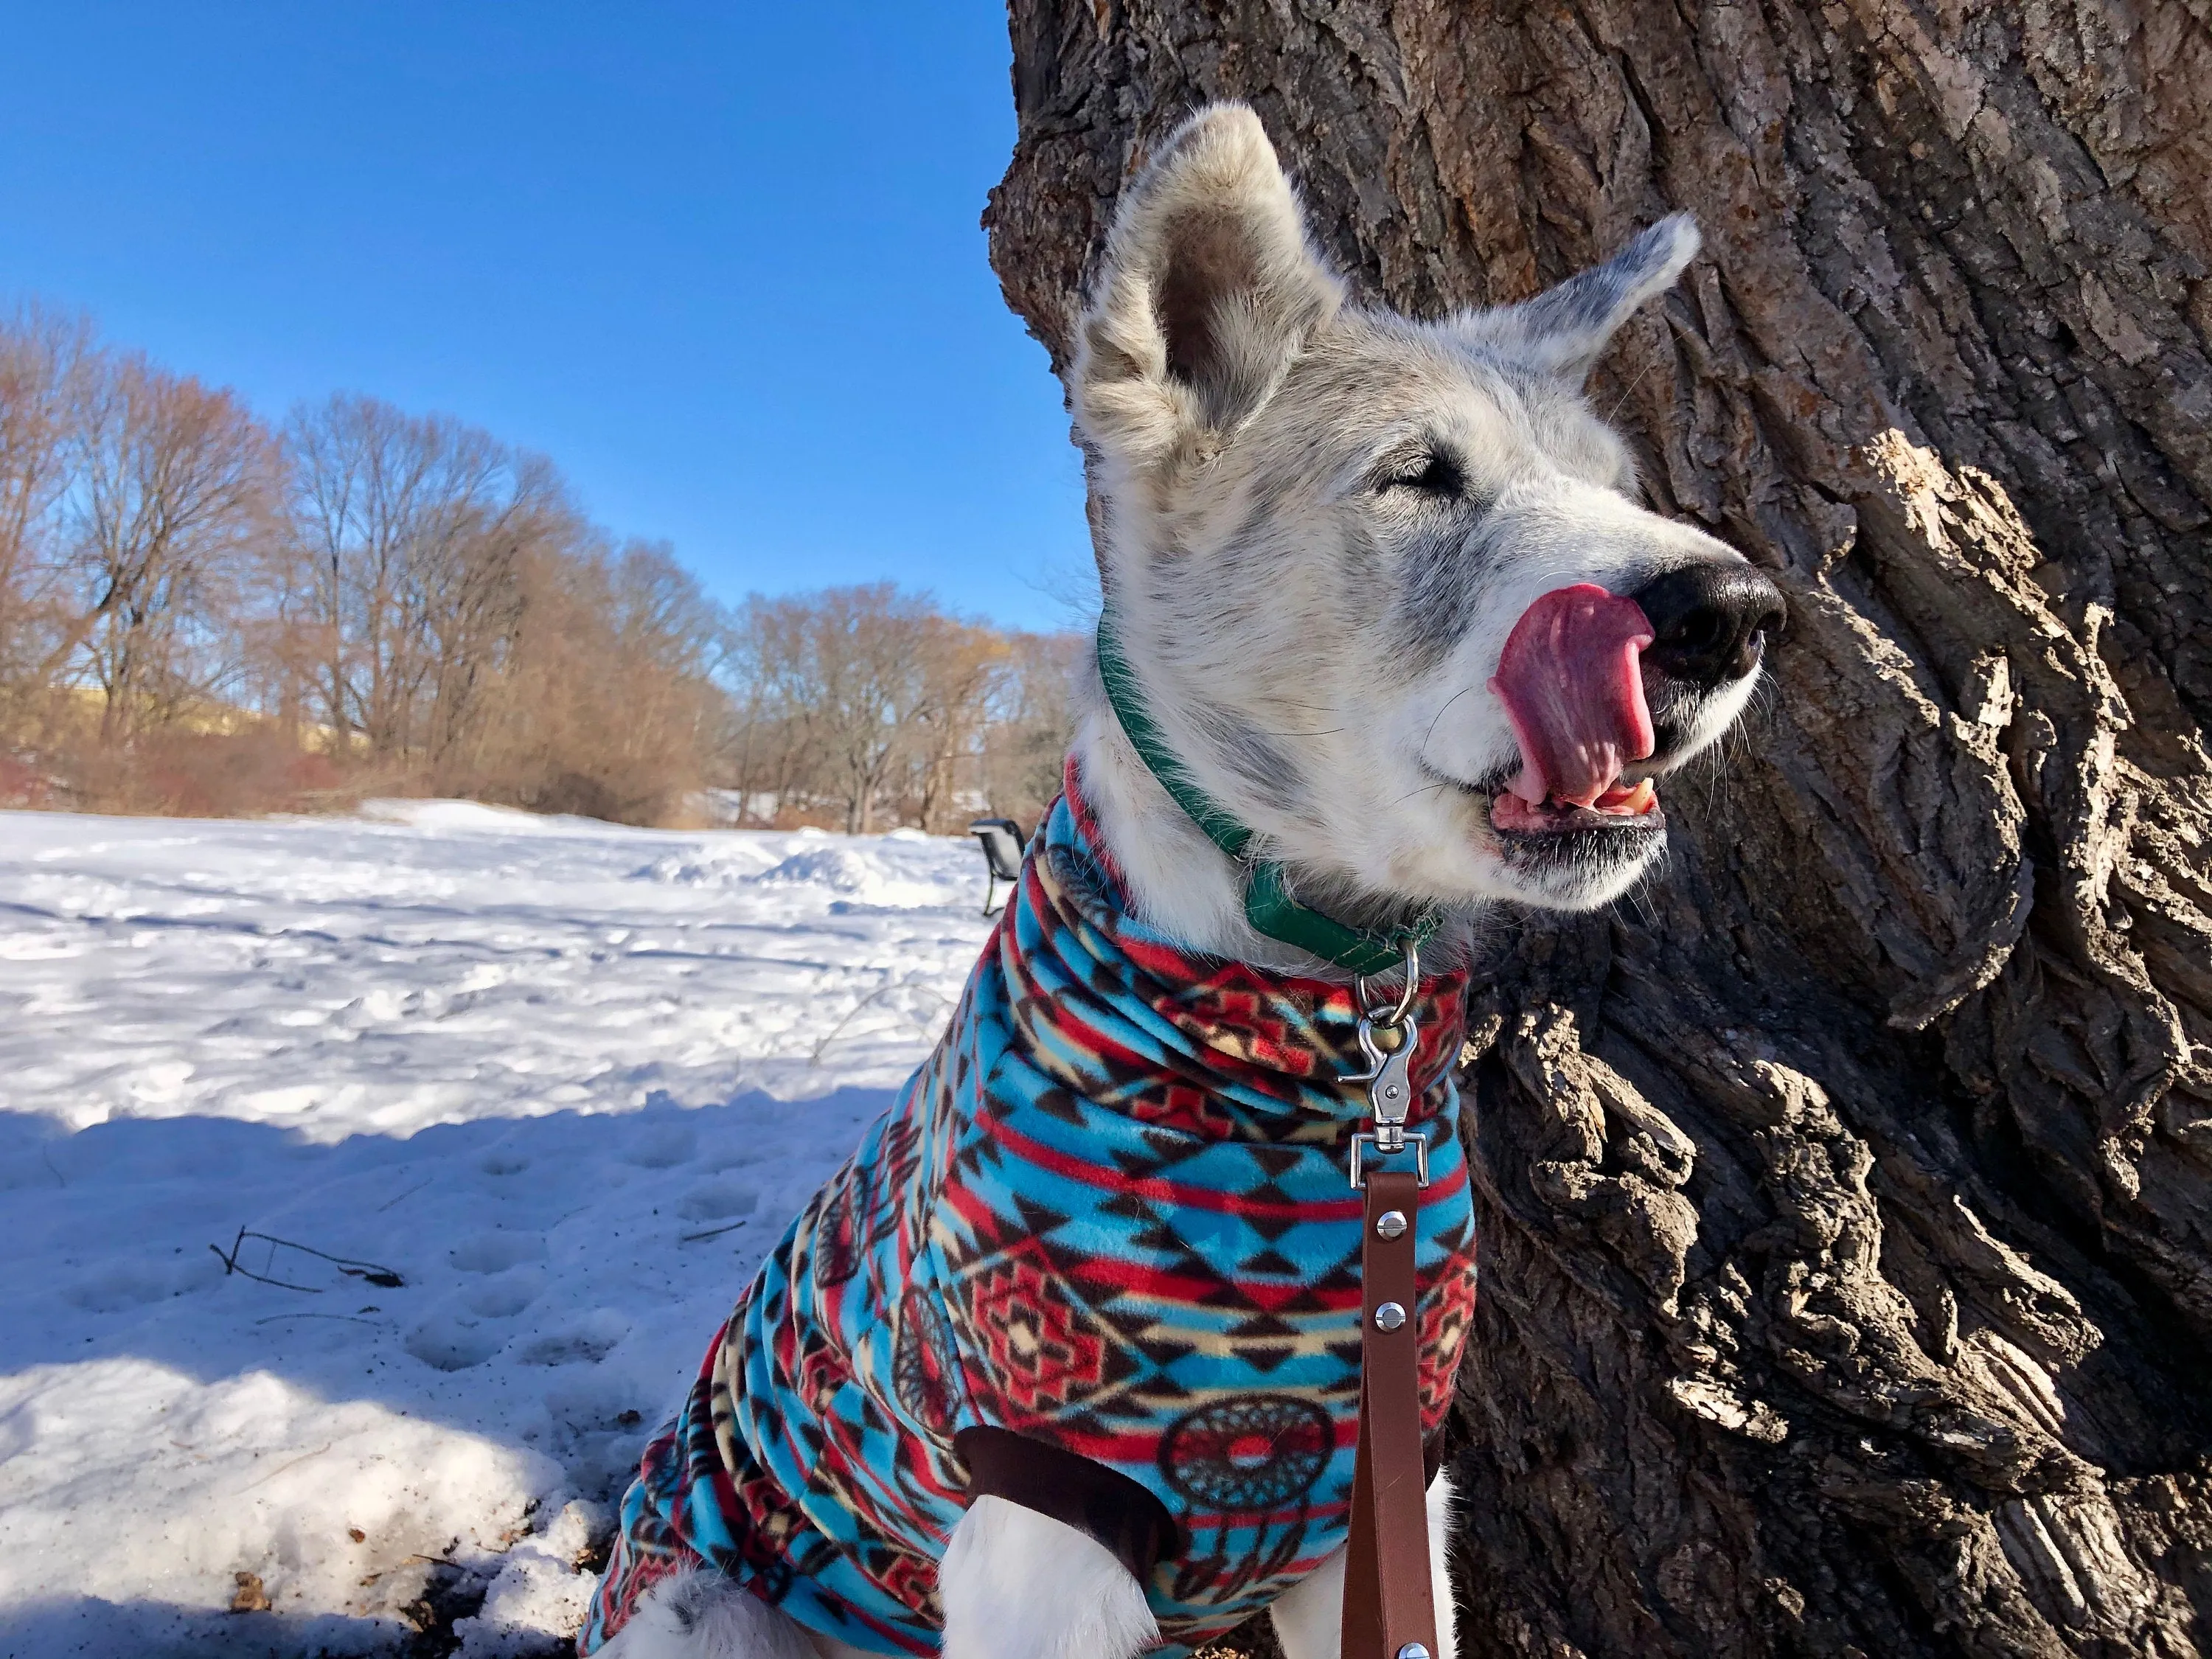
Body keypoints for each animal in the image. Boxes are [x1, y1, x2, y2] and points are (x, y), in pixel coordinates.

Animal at [584, 107, 1778, 1659]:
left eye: (1616, 488)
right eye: (1418, 474)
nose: (1737, 614)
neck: (1306, 1022)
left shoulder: (1386, 1497)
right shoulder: (1040, 1541)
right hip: (709, 1611)